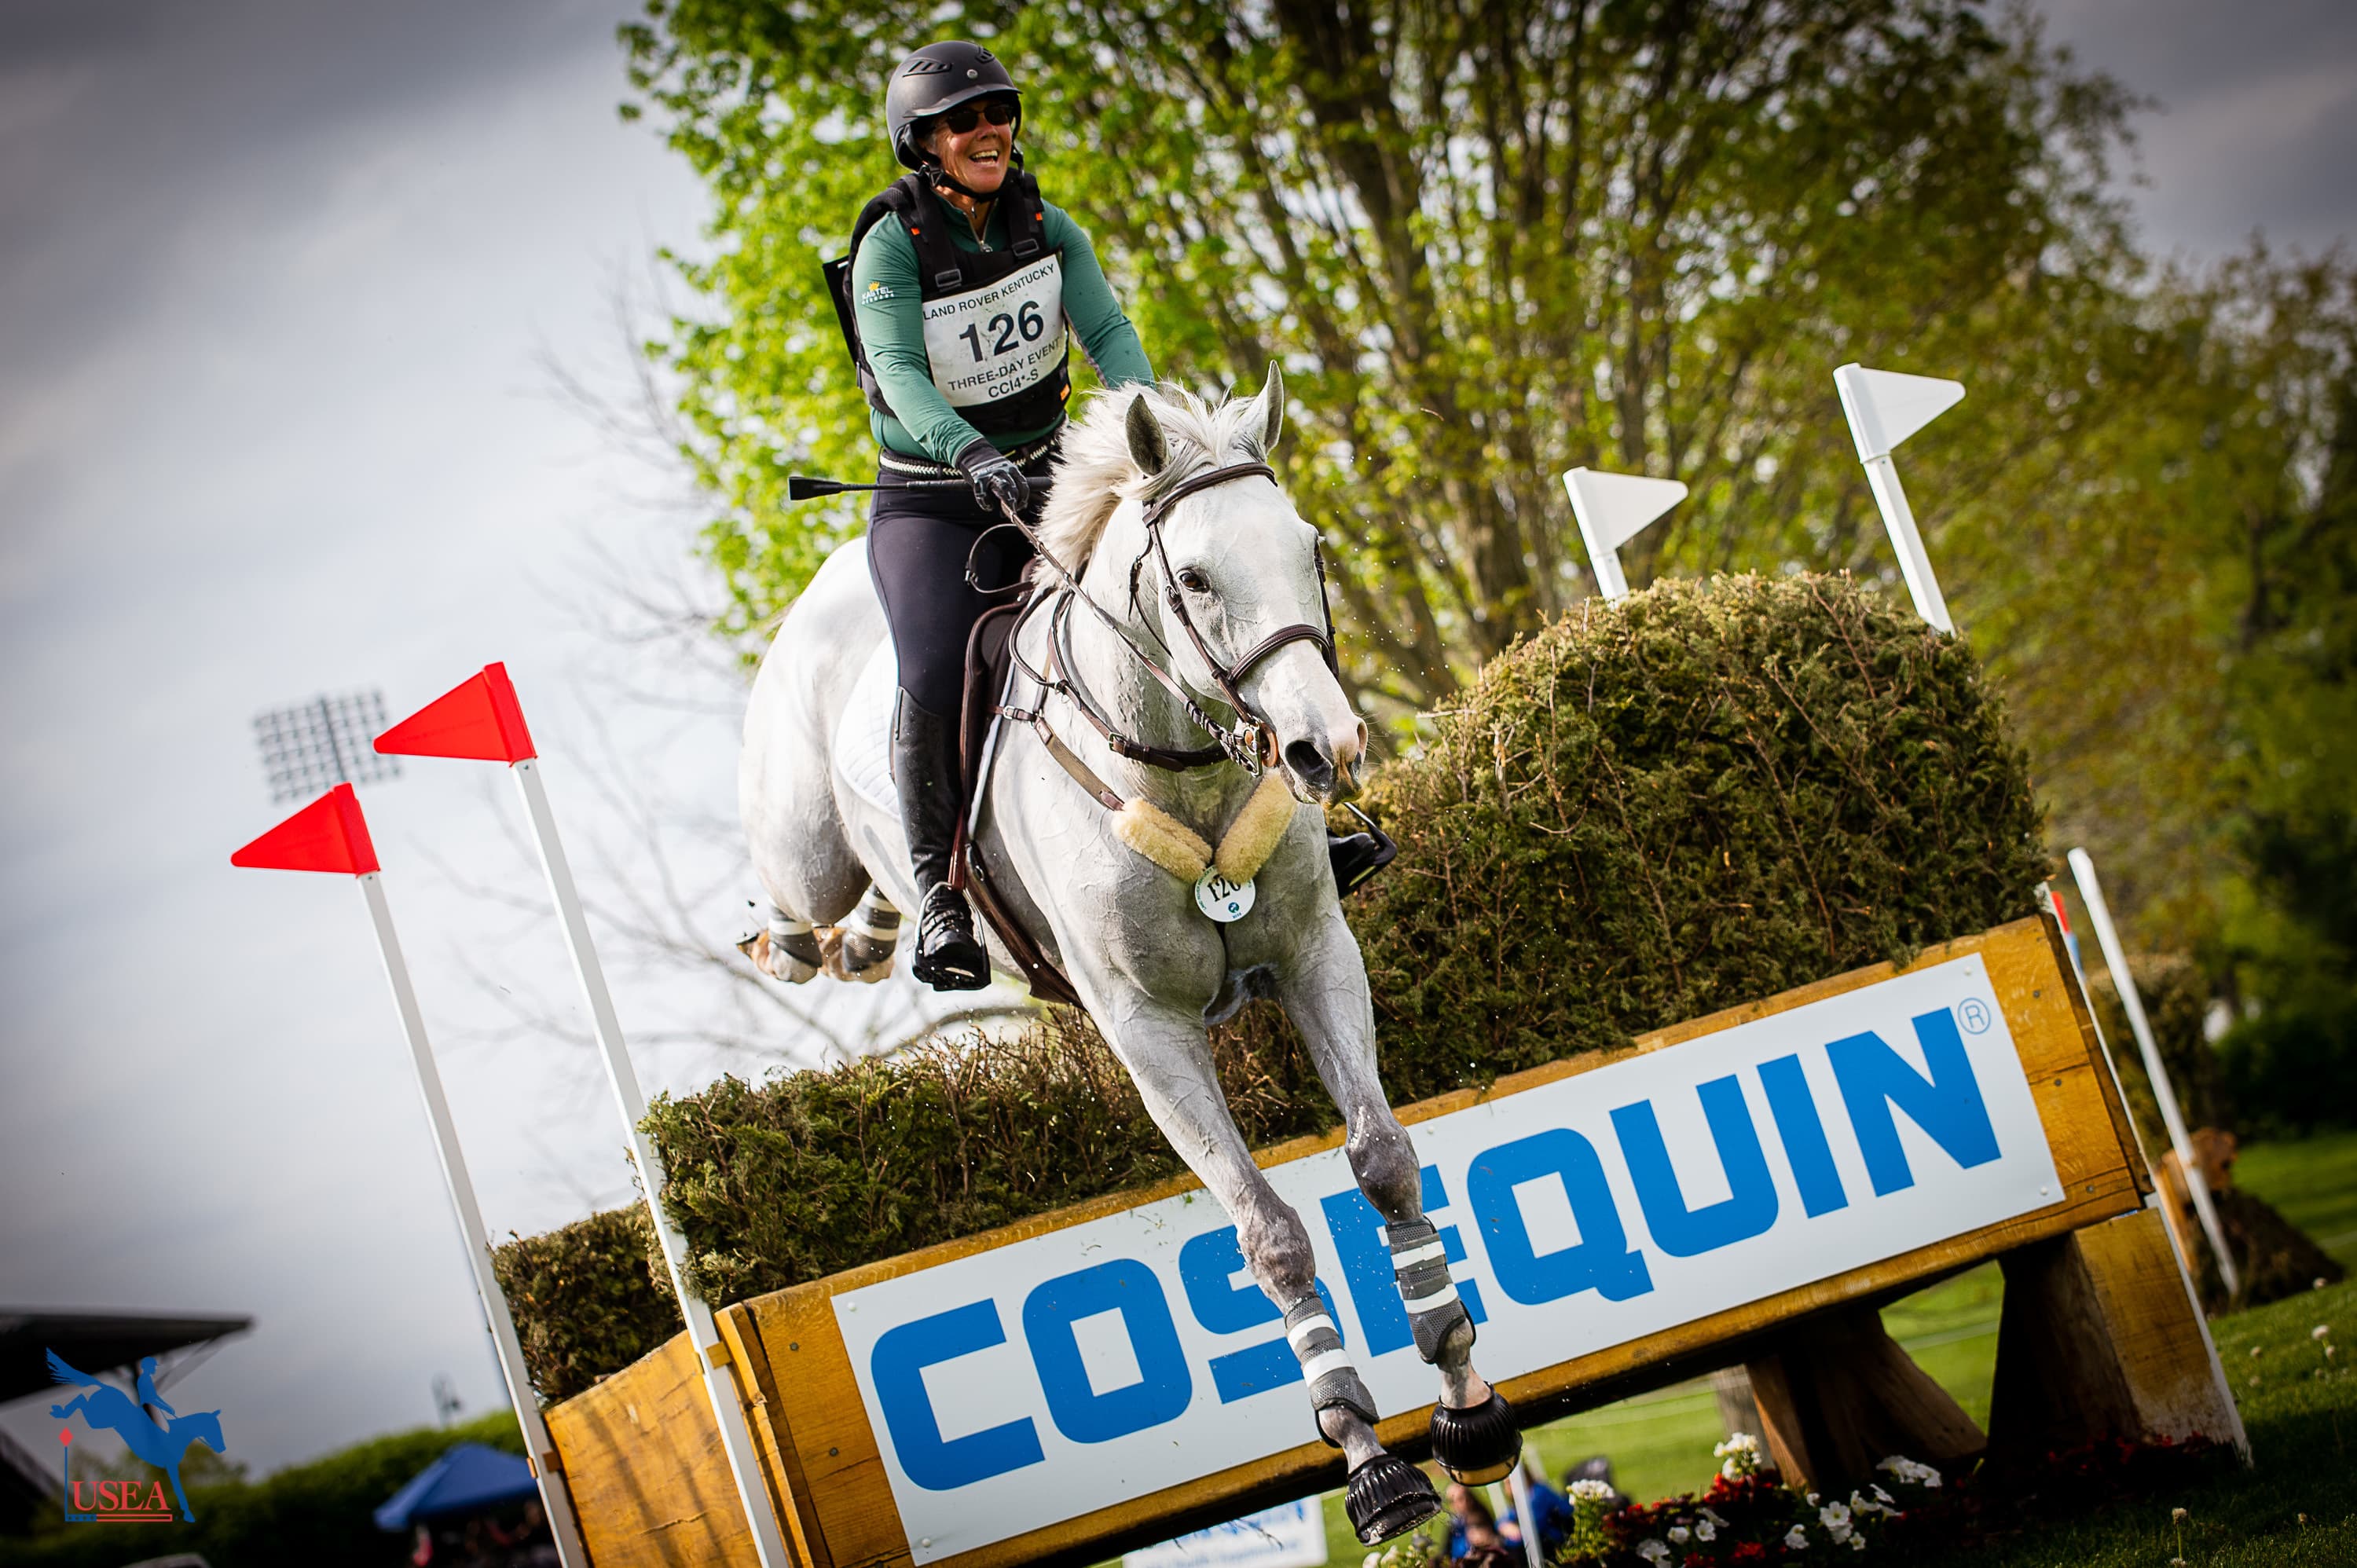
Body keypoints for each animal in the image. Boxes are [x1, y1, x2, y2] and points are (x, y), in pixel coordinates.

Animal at [49, 1356, 225, 1523]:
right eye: (214, 1429)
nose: (222, 1448)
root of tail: (105, 1387)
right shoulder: (171, 1465)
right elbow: (179, 1490)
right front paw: (188, 1515)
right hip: (99, 1420)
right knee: (80, 1399)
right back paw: (60, 1412)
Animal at [738, 367, 1521, 1543]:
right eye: (1193, 577)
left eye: (1309, 548)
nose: (1325, 747)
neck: (1181, 767)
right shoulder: (1149, 1032)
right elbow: (1269, 1233)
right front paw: (1363, 1452)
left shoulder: (1316, 957)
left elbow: (1383, 1159)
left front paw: (1465, 1395)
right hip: (803, 843)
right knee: (794, 906)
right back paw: (838, 934)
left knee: (857, 908)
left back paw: (889, 928)